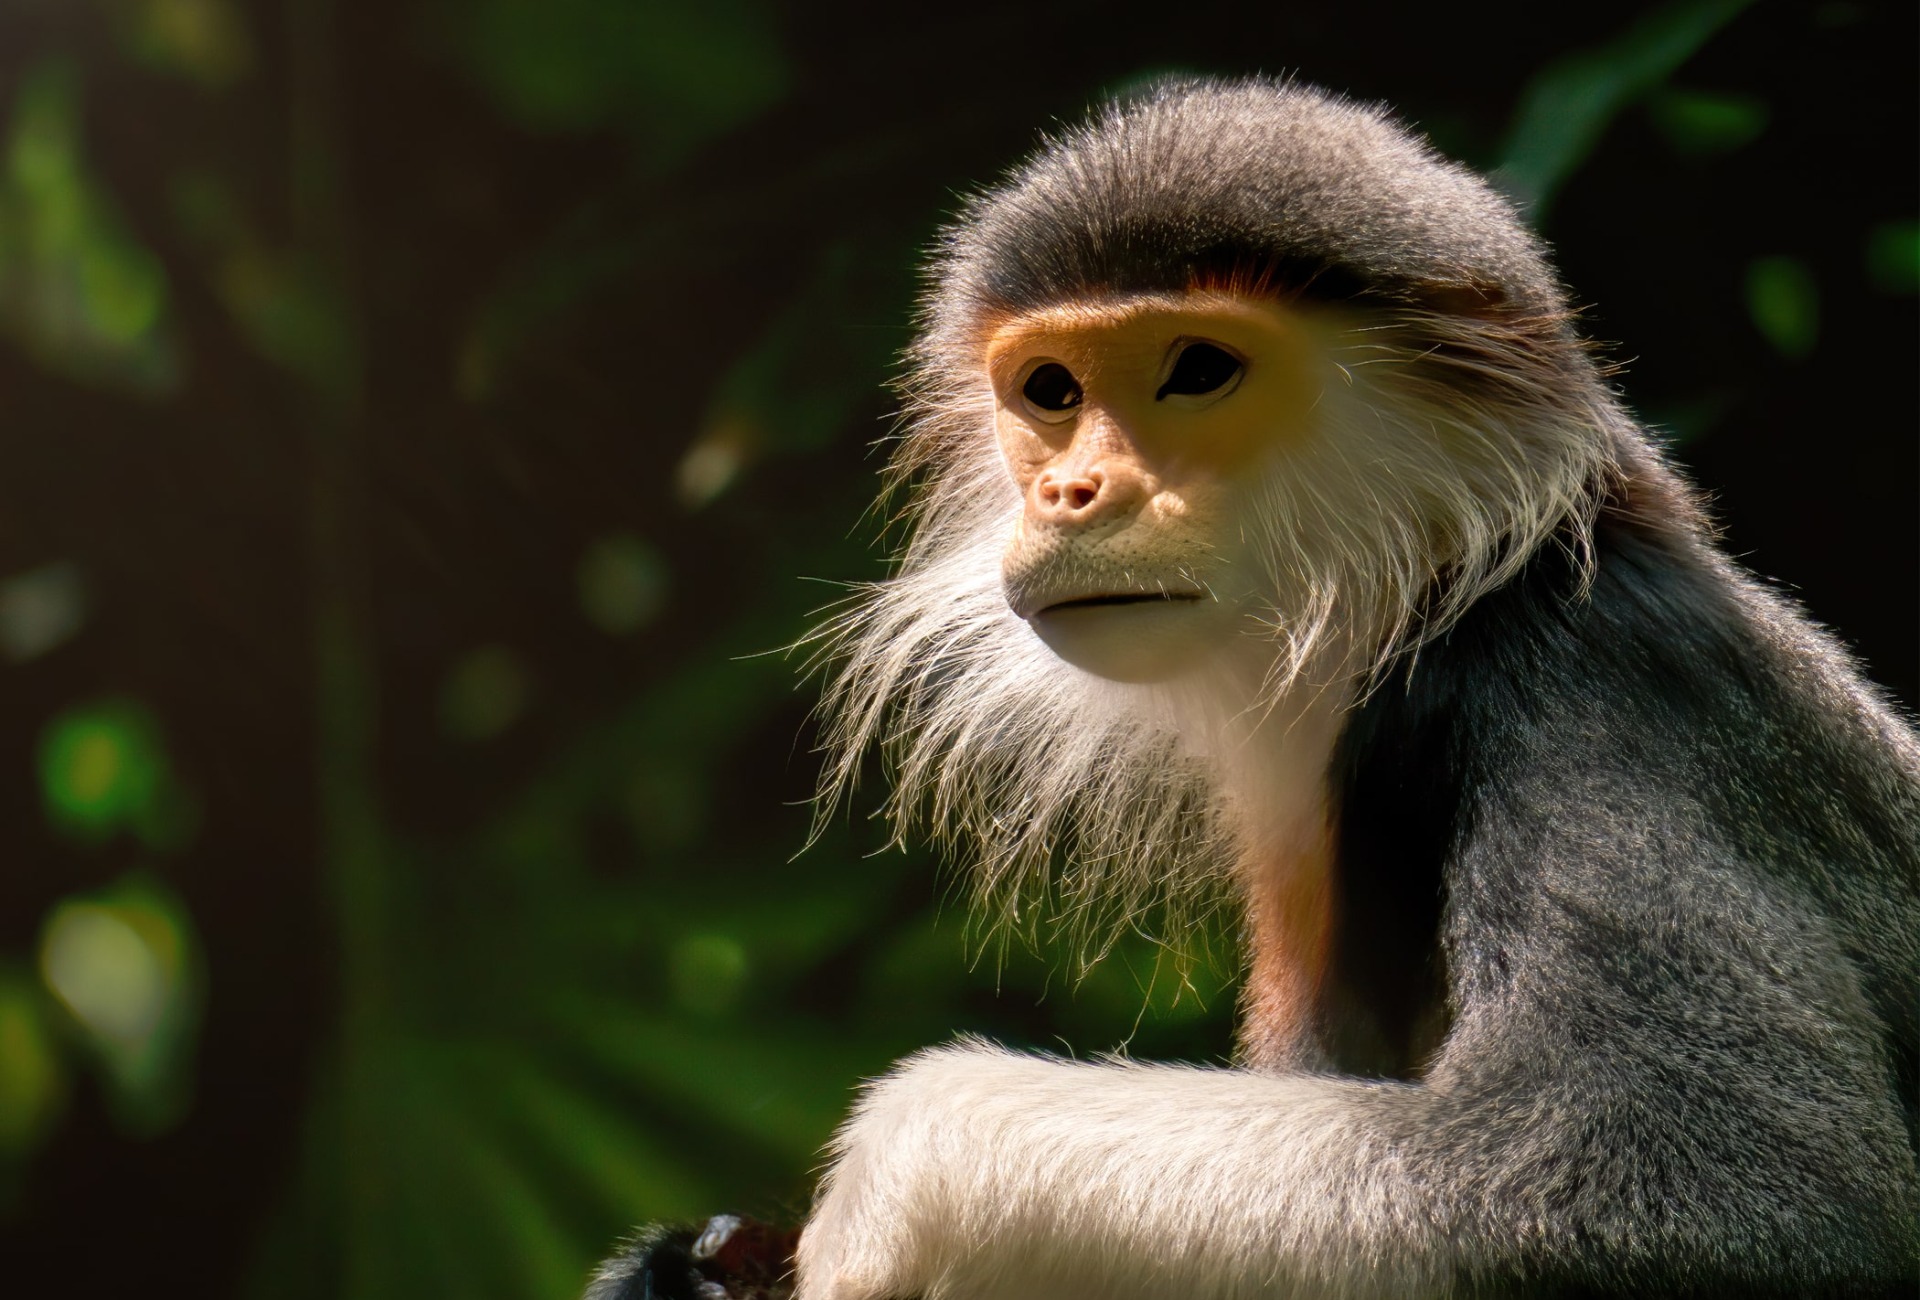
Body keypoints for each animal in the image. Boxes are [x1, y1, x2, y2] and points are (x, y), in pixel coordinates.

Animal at [587, 78, 1920, 1298]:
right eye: (1053, 393)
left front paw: (885, 1186)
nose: (1072, 492)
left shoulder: (1609, 683)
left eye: (1198, 369)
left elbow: (1728, 1188)